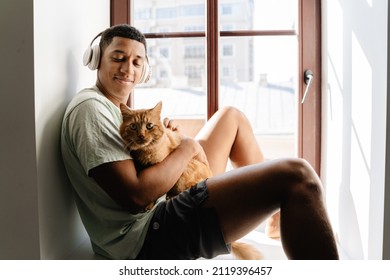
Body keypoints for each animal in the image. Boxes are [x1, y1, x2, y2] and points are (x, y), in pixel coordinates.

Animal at [119, 101, 262, 260]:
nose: (141, 136)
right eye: (133, 126)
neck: (144, 154)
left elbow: (158, 192)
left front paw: (152, 203)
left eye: (149, 126)